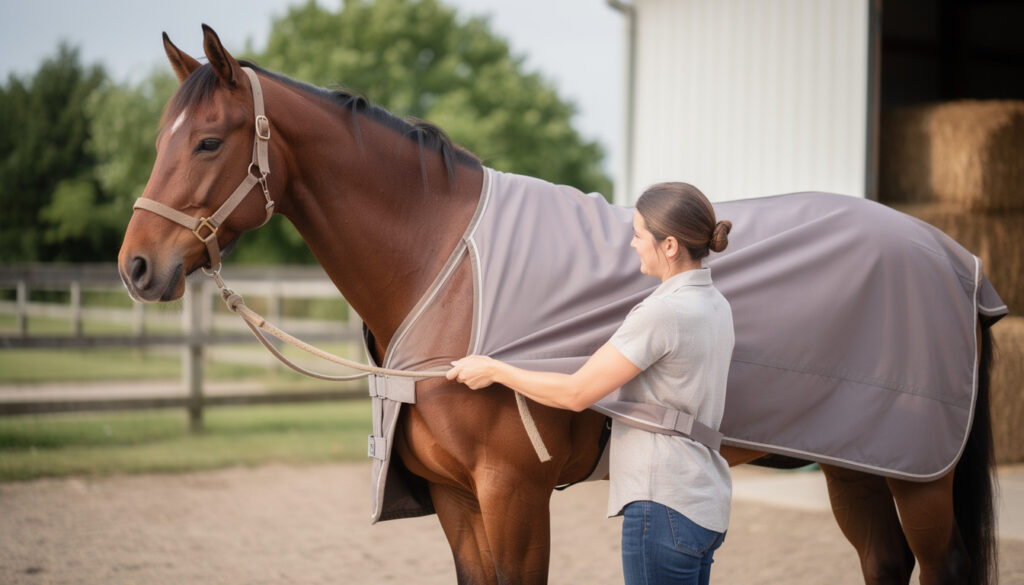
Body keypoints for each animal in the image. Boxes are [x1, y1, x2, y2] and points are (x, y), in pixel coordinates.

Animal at [118, 26, 998, 585]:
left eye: (209, 140)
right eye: (161, 138)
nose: (136, 266)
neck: (447, 271)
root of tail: (957, 259)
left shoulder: (514, 492)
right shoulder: (454, 499)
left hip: (922, 477)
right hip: (860, 462)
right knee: (883, 562)